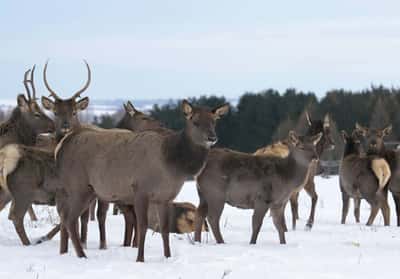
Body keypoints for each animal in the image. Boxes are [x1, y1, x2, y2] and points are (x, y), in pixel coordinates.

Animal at [54, 100, 228, 262]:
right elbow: (142, 225)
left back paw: (65, 252)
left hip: (82, 190)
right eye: (195, 121)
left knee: (64, 215)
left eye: (214, 121)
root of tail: (62, 145)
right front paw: (140, 259)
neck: (172, 164)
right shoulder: (140, 190)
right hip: (78, 186)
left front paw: (167, 256)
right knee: (70, 219)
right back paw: (82, 255)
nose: (212, 138)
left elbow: (164, 228)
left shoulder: (165, 197)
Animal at [193, 131, 322, 245]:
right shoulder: (262, 198)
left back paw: (197, 241)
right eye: (301, 147)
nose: (315, 157)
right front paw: (252, 243)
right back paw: (221, 242)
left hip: (203, 194)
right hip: (216, 193)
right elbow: (257, 224)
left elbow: (279, 226)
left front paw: (283, 243)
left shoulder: (278, 203)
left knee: (199, 214)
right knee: (212, 217)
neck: (286, 179)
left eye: (314, 146)